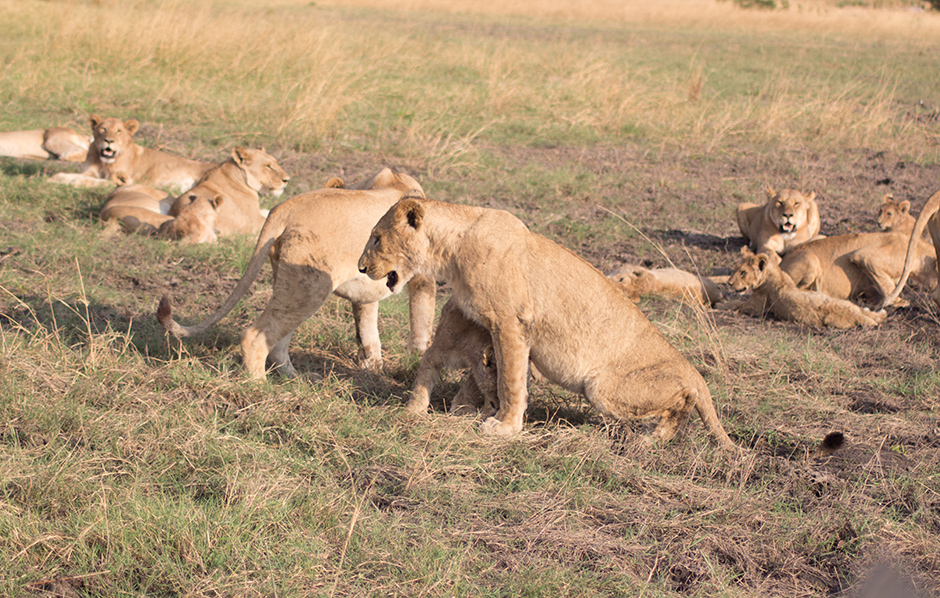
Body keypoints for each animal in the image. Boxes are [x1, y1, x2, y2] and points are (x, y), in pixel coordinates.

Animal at [49, 114, 214, 192]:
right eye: (103, 129)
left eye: (118, 131)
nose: (109, 141)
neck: (104, 163)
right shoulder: (89, 172)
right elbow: (74, 176)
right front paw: (56, 178)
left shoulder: (120, 180)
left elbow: (88, 181)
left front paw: (71, 182)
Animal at [157, 168, 435, 379]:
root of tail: (286, 206)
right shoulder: (422, 276)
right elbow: (421, 323)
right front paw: (414, 365)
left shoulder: (367, 290)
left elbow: (367, 330)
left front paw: (373, 367)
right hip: (311, 287)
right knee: (254, 336)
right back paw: (258, 386)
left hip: (293, 284)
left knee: (278, 342)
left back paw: (295, 379)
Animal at [357, 199, 735, 446]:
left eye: (376, 237)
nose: (361, 267)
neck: (450, 250)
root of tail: (693, 371)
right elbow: (486, 373)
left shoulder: (511, 324)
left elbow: (511, 381)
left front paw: (504, 427)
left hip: (602, 387)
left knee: (683, 400)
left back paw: (653, 436)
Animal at [720, 249, 887, 328]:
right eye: (735, 269)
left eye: (743, 273)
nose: (729, 283)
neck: (775, 274)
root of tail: (852, 314)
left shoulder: (756, 307)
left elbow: (736, 304)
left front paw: (720, 304)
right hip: (849, 304)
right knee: (869, 313)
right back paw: (879, 313)